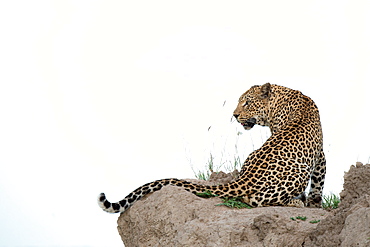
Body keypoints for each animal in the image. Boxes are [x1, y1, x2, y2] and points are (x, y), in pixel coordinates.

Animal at [97, 83, 326, 214]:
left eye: (246, 103)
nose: (234, 115)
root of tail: (245, 179)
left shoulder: (320, 155)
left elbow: (319, 182)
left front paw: (314, 202)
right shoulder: (321, 155)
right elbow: (318, 183)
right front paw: (314, 203)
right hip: (298, 172)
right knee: (258, 201)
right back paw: (297, 203)